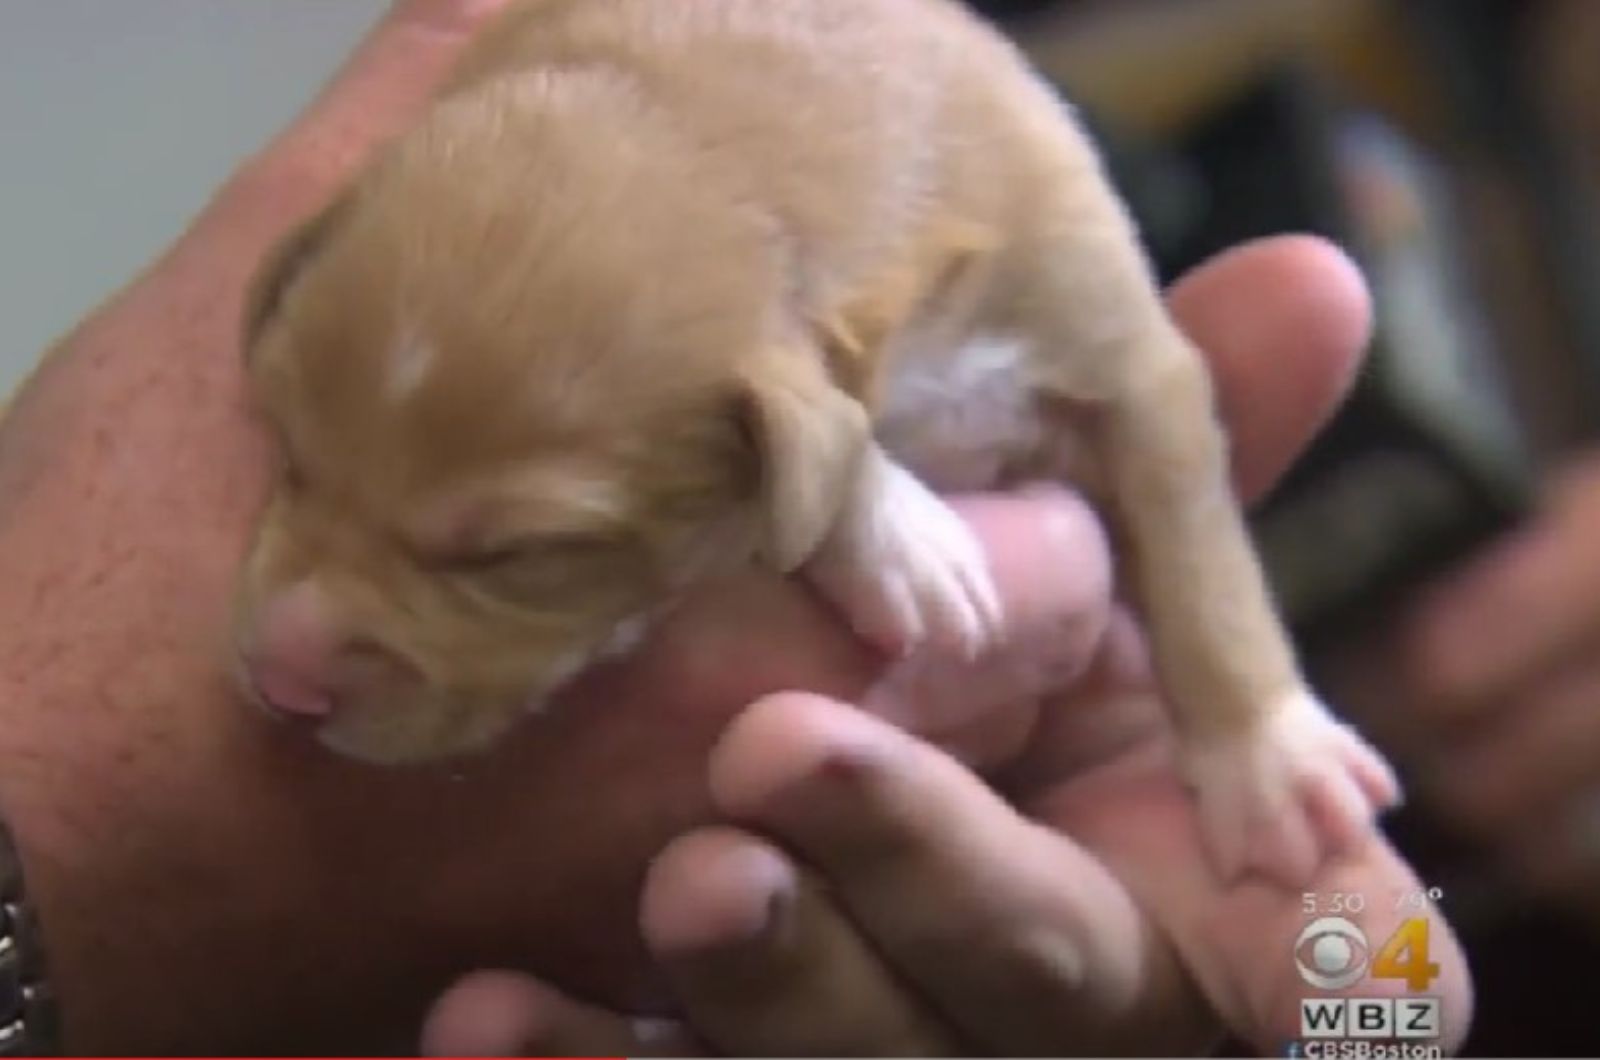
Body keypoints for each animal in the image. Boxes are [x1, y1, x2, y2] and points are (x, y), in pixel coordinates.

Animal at [233, 0, 1401, 883]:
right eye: (287, 450)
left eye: (514, 556)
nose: (280, 676)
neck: (698, 139)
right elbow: (827, 444)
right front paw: (902, 539)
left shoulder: (1117, 347)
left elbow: (1196, 557)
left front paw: (1272, 763)